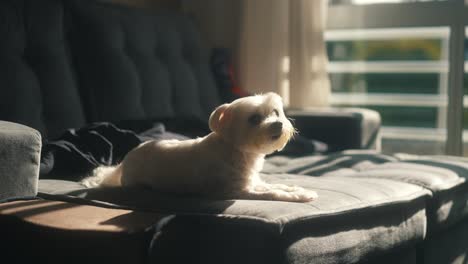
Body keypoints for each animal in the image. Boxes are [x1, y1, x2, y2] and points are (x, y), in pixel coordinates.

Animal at [83, 92, 318, 202]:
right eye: (254, 119)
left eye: (275, 113)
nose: (278, 124)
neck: (237, 150)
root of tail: (125, 160)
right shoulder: (235, 190)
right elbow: (272, 193)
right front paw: (297, 196)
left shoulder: (252, 182)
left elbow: (275, 186)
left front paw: (295, 189)